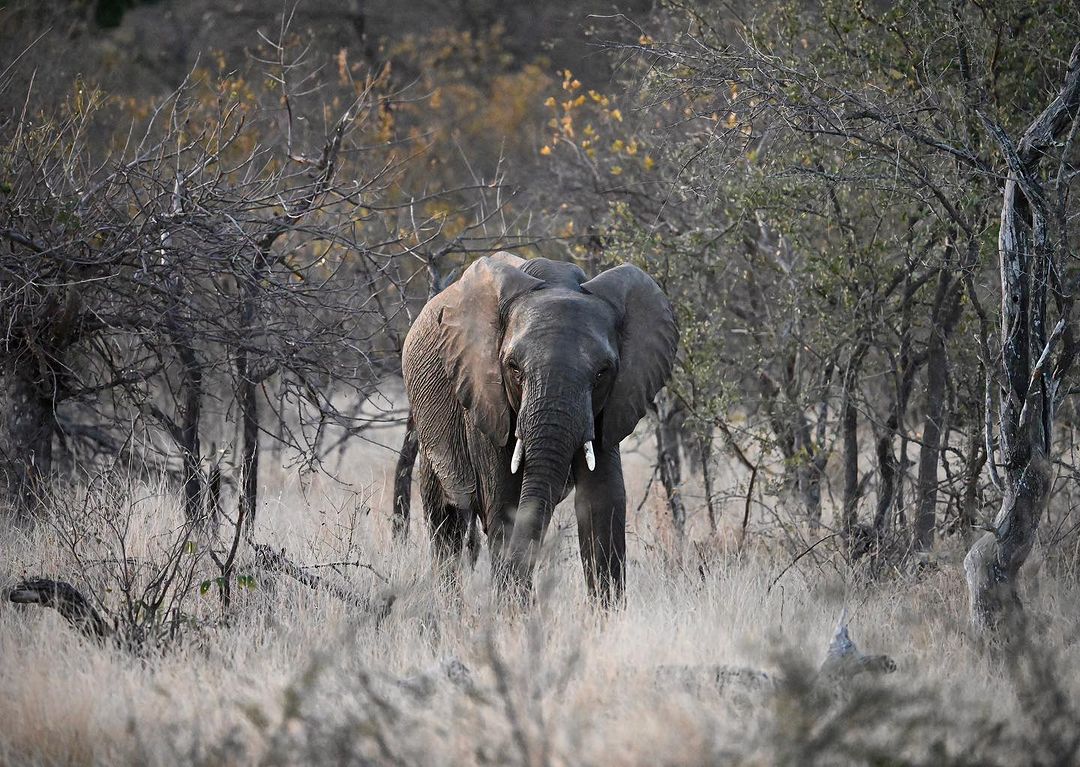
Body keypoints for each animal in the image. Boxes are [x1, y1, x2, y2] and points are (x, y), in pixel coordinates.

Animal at [401, 254, 678, 604]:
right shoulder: (485, 399)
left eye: (602, 373)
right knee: (446, 521)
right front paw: (512, 614)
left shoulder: (612, 404)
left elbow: (603, 500)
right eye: (514, 369)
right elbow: (505, 505)